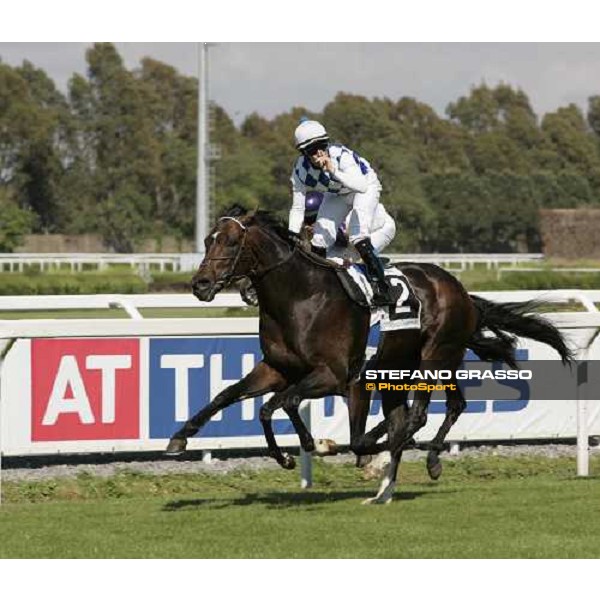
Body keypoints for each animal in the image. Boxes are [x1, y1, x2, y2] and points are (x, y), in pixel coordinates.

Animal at [164, 204, 572, 504]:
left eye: (232, 242)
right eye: (207, 239)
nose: (200, 285)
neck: (300, 296)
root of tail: (460, 290)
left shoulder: (336, 375)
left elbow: (284, 403)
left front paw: (320, 445)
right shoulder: (277, 368)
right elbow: (234, 397)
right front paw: (182, 438)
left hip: (434, 357)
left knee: (416, 416)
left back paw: (390, 457)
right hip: (410, 366)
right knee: (447, 407)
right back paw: (410, 469)